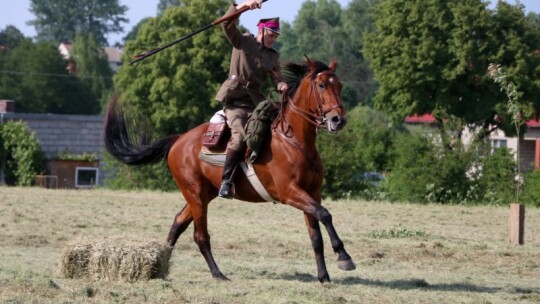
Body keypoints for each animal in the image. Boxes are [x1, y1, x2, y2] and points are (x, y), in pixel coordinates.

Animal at [103, 57, 356, 282]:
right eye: (322, 85)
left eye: (340, 85)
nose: (338, 120)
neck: (294, 139)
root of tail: (178, 140)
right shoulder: (290, 192)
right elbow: (325, 214)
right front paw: (344, 257)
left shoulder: (312, 193)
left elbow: (316, 235)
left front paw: (324, 276)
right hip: (195, 194)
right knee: (200, 235)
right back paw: (217, 274)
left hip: (205, 194)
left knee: (178, 223)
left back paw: (161, 267)